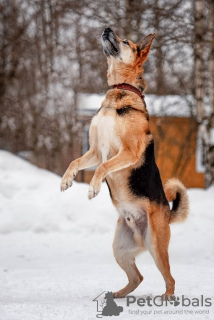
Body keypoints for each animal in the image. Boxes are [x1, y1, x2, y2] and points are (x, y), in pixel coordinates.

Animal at [60, 27, 189, 300]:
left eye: (126, 41)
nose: (107, 28)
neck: (120, 91)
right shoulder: (94, 151)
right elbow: (75, 161)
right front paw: (66, 180)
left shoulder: (126, 152)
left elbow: (103, 168)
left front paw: (93, 187)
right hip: (119, 249)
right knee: (137, 277)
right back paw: (118, 294)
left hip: (156, 247)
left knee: (170, 278)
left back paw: (167, 297)